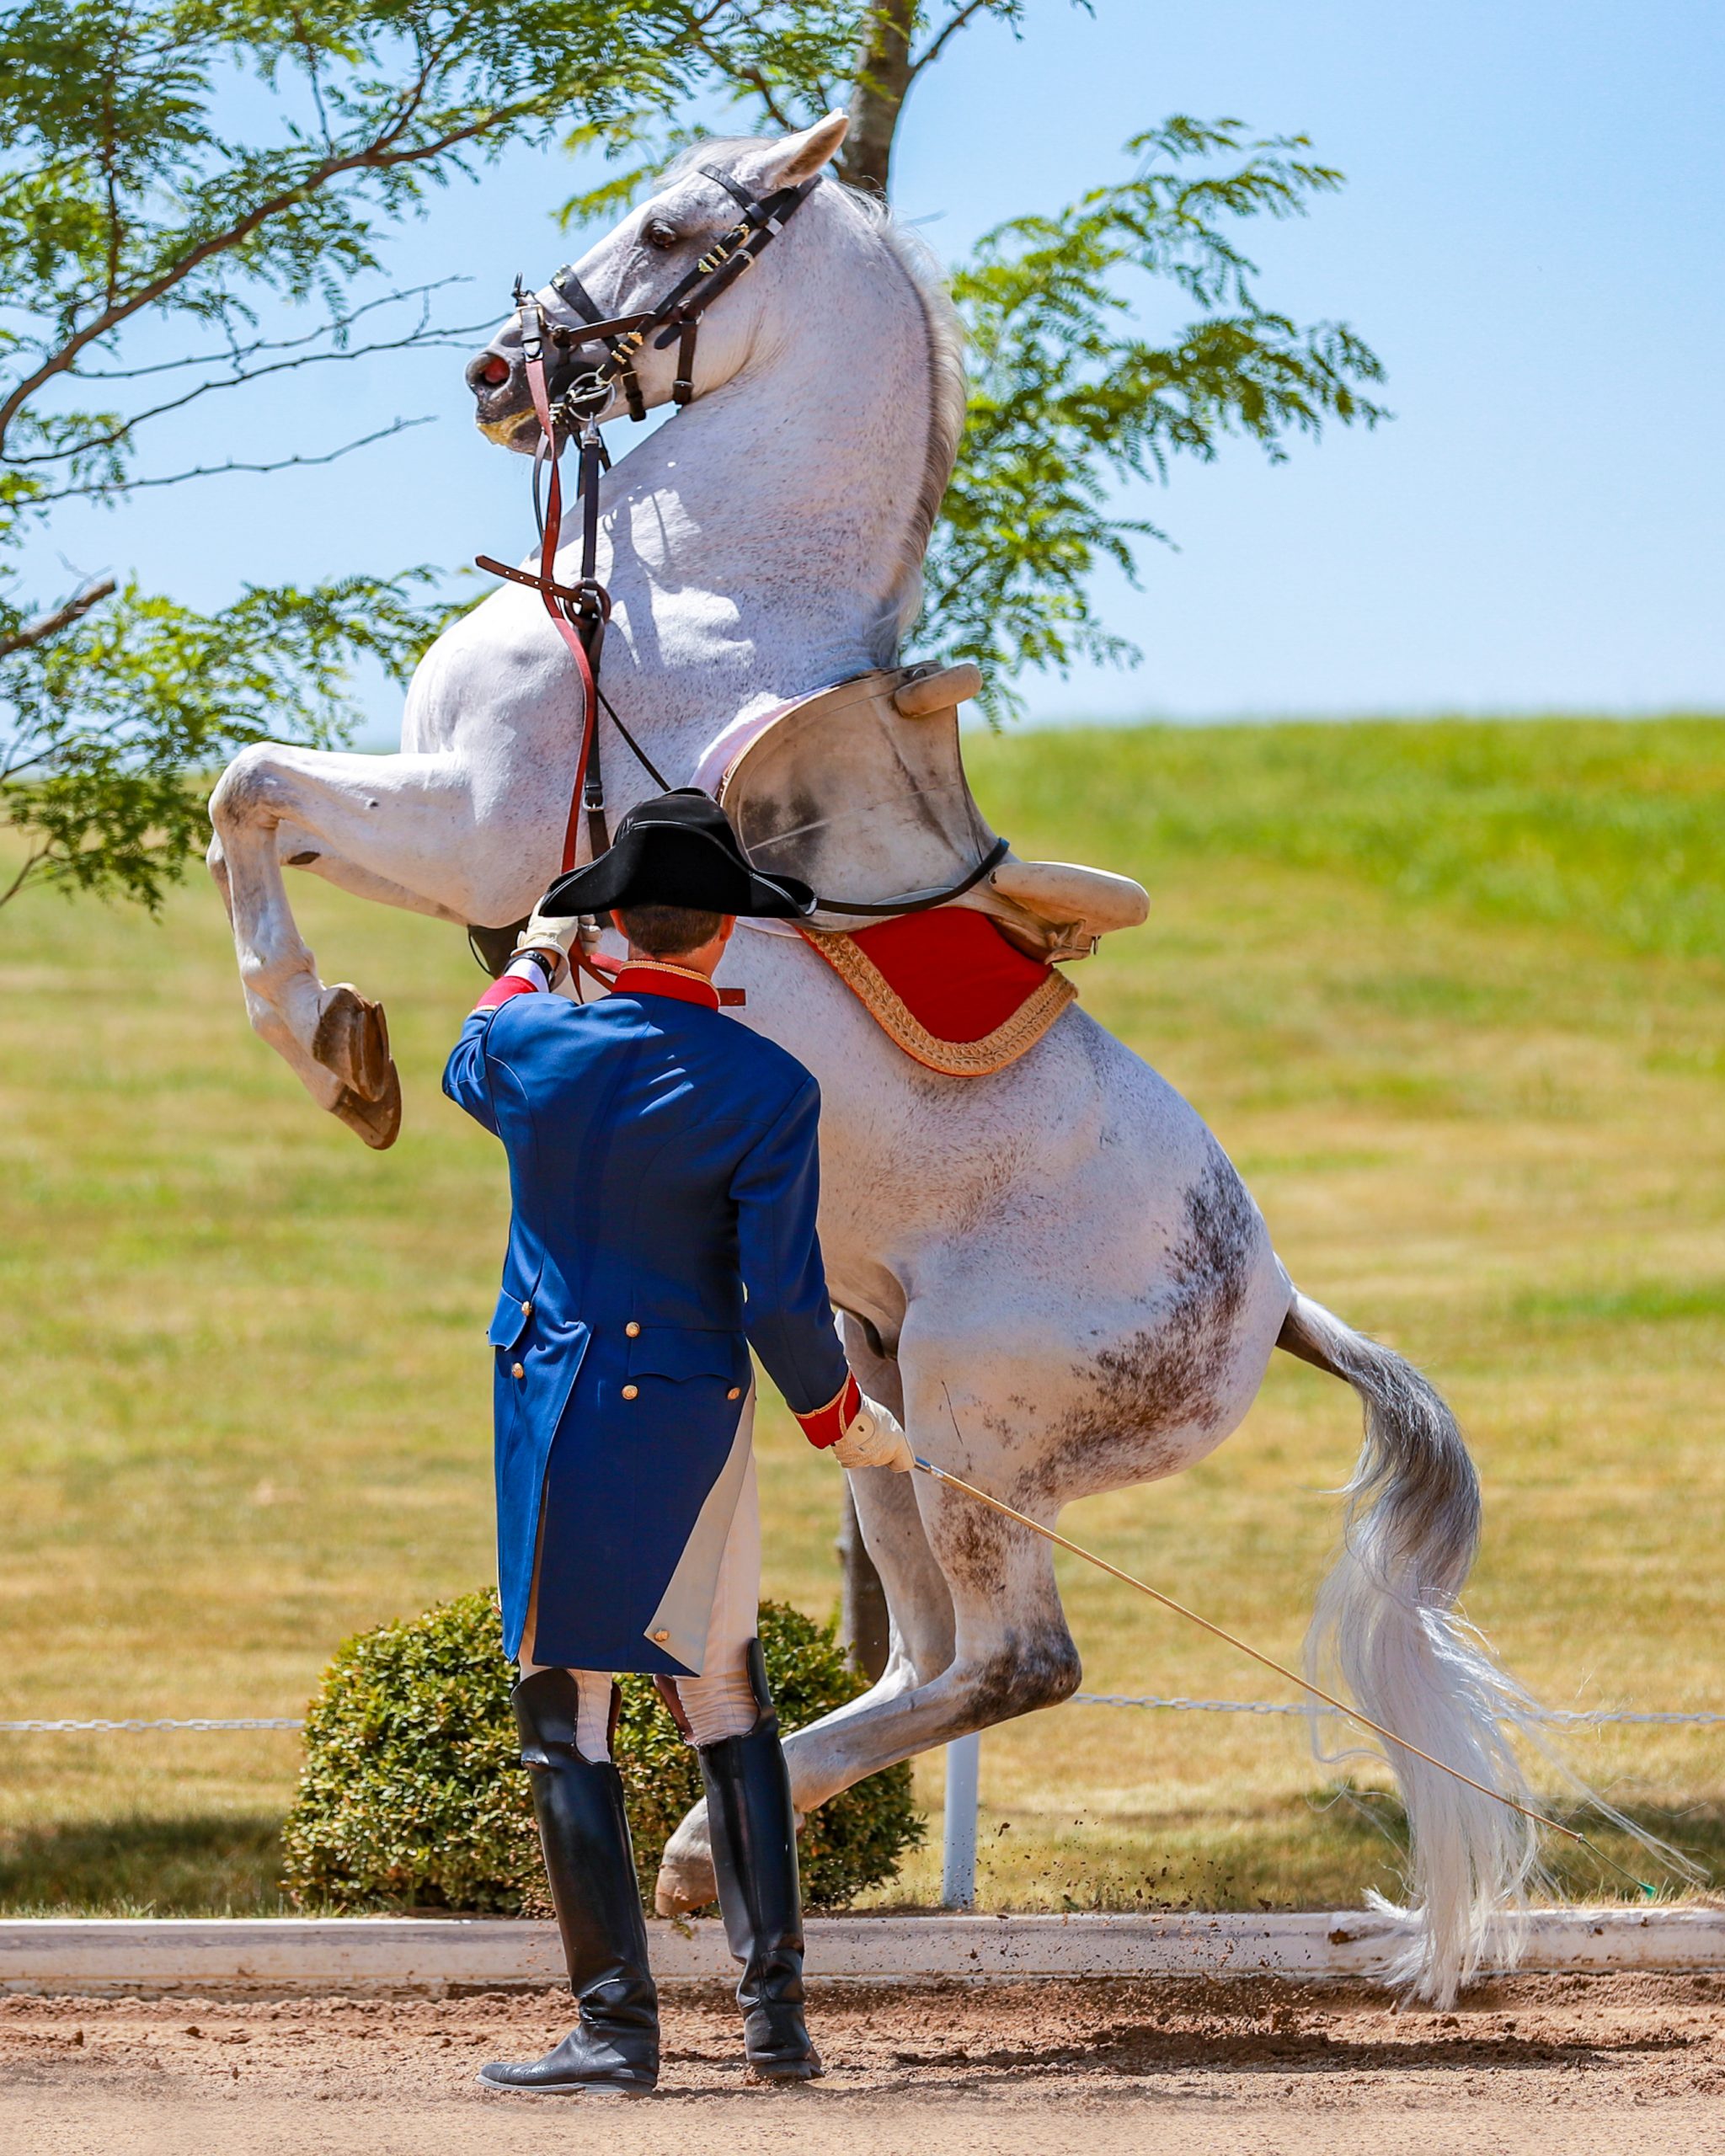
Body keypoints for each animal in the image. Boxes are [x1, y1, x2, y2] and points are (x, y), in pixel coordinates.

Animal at [209, 118, 1543, 2000]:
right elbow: (252, 801)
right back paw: (715, 1846)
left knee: (1019, 1659)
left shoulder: (467, 826)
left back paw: (703, 1848)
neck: (692, 579)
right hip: (866, 1372)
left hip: (982, 1418)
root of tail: (1273, 1302)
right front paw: (337, 1034)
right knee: (927, 1653)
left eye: (669, 230)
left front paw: (330, 1043)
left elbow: (246, 784)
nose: (495, 376)